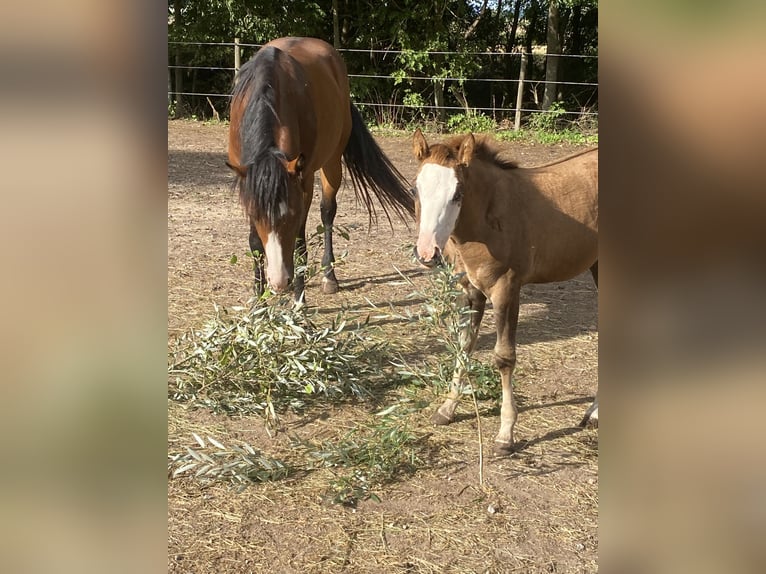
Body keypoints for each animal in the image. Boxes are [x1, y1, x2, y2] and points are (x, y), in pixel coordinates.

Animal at [227, 37, 414, 303]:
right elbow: (254, 243)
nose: (279, 281)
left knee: (327, 212)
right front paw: (258, 299)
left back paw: (328, 276)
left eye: (291, 214)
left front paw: (299, 299)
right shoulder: (249, 185)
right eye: (257, 215)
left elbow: (299, 240)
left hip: (331, 163)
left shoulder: (302, 182)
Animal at [411, 129, 598, 456]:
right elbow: (465, 346)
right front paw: (447, 410)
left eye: (457, 194)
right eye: (416, 189)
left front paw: (505, 434)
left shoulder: (507, 289)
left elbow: (504, 357)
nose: (427, 253)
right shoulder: (472, 291)